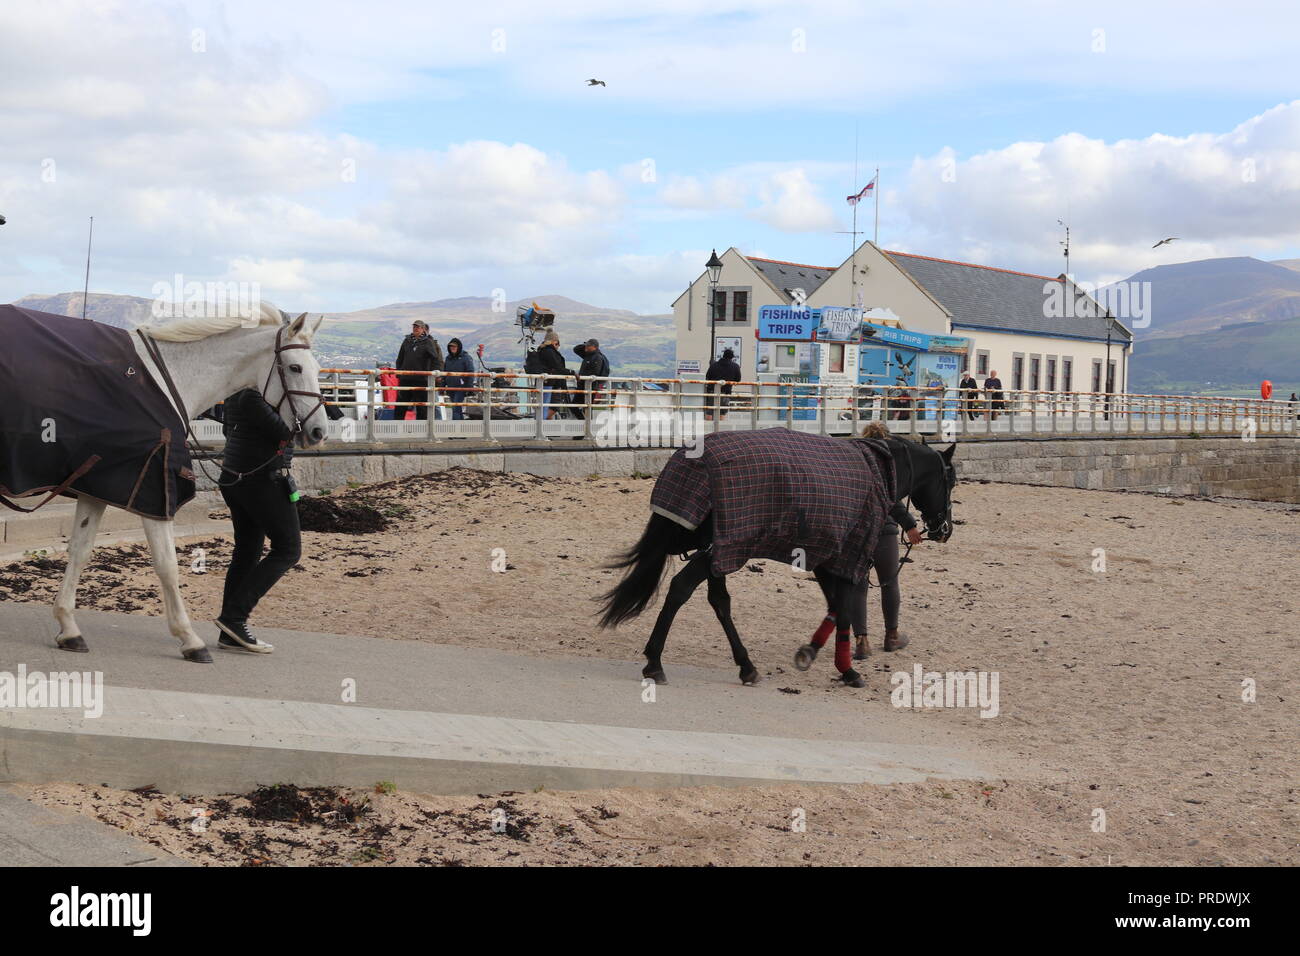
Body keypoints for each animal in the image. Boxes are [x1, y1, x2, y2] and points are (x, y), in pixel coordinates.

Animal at [54, 303, 330, 660]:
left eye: (318, 368)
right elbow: (167, 564)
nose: (319, 431)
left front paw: (68, 627)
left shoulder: (98, 484)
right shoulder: (153, 490)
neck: (164, 380)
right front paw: (189, 638)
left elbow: (80, 550)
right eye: (295, 367)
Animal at [598, 437, 956, 691]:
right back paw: (655, 662)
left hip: (717, 550)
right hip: (724, 548)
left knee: (719, 601)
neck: (878, 469)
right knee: (680, 589)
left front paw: (821, 654)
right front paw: (842, 666)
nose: (945, 528)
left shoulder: (823, 557)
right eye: (950, 480)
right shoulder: (847, 555)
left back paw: (746, 666)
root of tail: (694, 465)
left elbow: (837, 608)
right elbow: (844, 608)